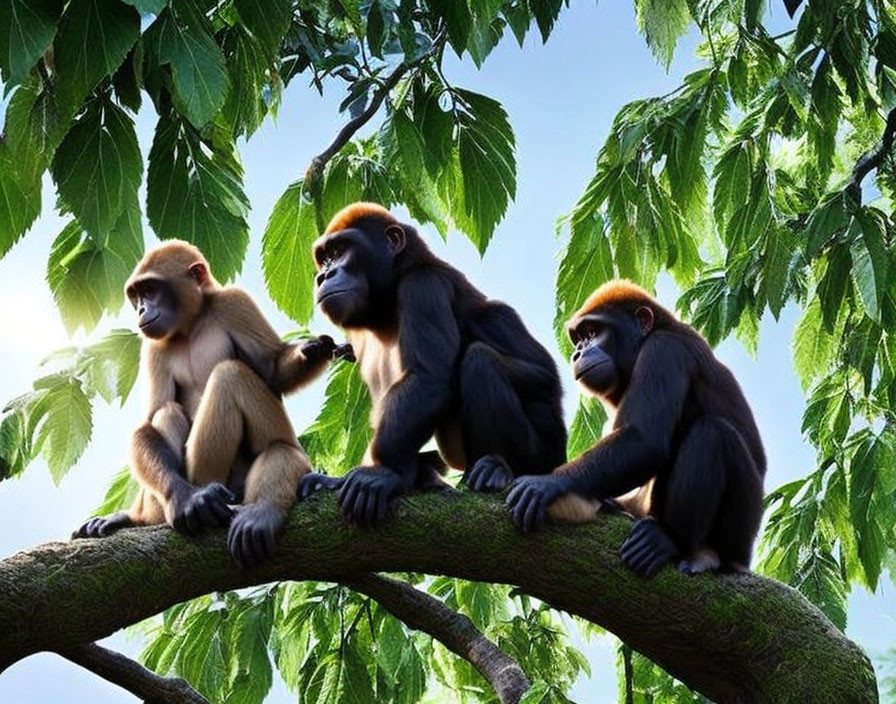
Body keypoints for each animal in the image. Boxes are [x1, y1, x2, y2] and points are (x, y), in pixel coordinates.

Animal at [74, 241, 346, 568]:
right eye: (137, 295)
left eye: (150, 290)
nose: (141, 310)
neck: (191, 325)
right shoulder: (153, 343)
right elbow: (151, 417)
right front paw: (186, 499)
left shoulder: (234, 302)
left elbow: (271, 372)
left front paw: (315, 348)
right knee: (167, 412)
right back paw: (179, 506)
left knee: (235, 380)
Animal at [300, 202, 568, 524]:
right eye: (325, 257)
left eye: (341, 250)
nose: (324, 275)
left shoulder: (424, 286)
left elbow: (429, 377)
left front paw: (385, 472)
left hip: (543, 454)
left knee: (481, 358)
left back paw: (497, 468)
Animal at [508, 280, 768, 576]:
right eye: (580, 337)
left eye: (594, 331)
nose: (578, 352)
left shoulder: (664, 350)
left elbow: (645, 441)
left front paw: (549, 483)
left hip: (738, 531)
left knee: (712, 432)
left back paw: (673, 541)